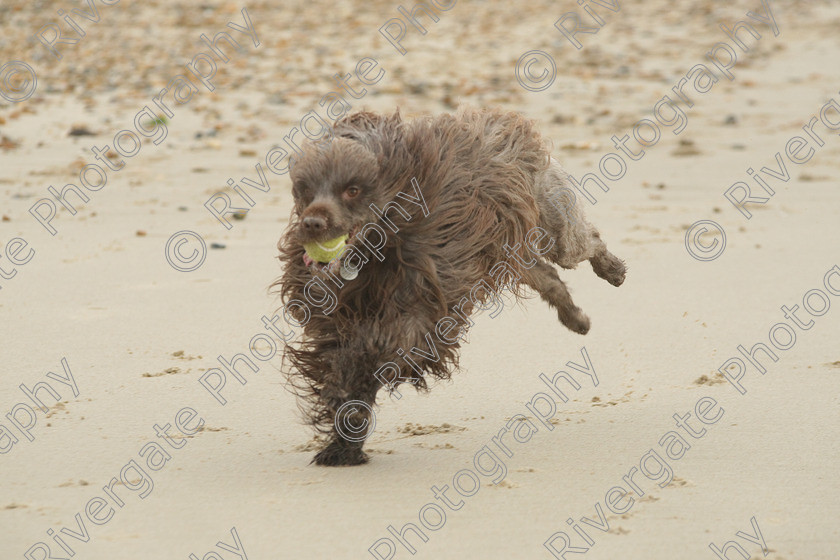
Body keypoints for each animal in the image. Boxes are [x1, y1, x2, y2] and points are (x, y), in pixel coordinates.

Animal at [272, 107, 628, 466]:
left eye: (353, 190)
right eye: (304, 189)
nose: (312, 224)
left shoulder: (424, 305)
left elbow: (376, 352)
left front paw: (350, 425)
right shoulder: (336, 319)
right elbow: (343, 366)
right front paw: (344, 442)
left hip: (553, 225)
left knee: (587, 242)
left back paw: (613, 270)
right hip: (514, 254)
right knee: (551, 279)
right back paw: (577, 319)